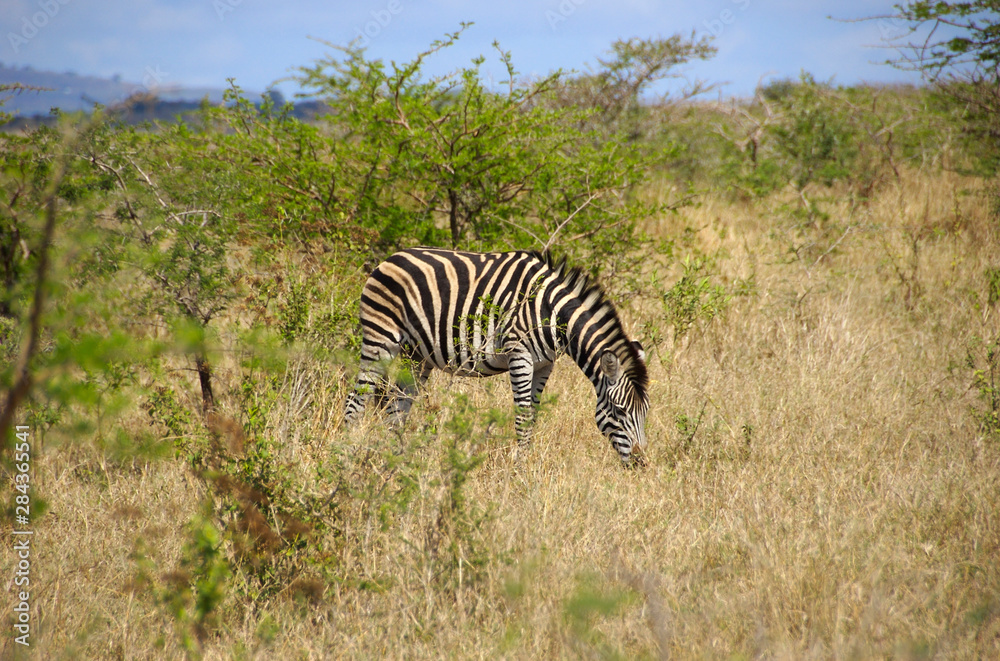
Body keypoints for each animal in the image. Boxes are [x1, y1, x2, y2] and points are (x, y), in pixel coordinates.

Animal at [343, 247, 650, 464]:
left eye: (645, 412)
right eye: (620, 411)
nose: (641, 462)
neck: (552, 313)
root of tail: (389, 259)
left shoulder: (545, 364)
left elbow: (533, 416)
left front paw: (525, 466)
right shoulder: (519, 355)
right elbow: (523, 418)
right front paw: (518, 475)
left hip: (417, 355)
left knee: (397, 407)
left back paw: (395, 462)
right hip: (380, 337)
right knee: (356, 399)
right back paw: (344, 455)